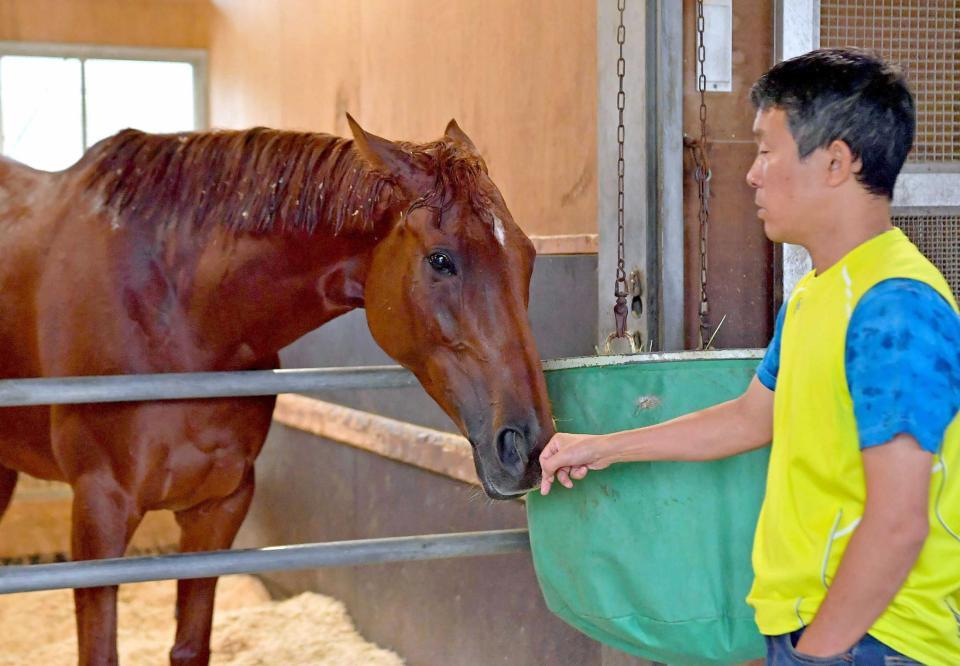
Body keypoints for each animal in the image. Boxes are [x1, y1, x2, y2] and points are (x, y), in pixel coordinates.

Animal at [0, 116, 556, 660]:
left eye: (529, 256)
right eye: (441, 260)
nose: (528, 447)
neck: (180, 314)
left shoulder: (219, 506)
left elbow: (190, 646)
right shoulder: (100, 513)